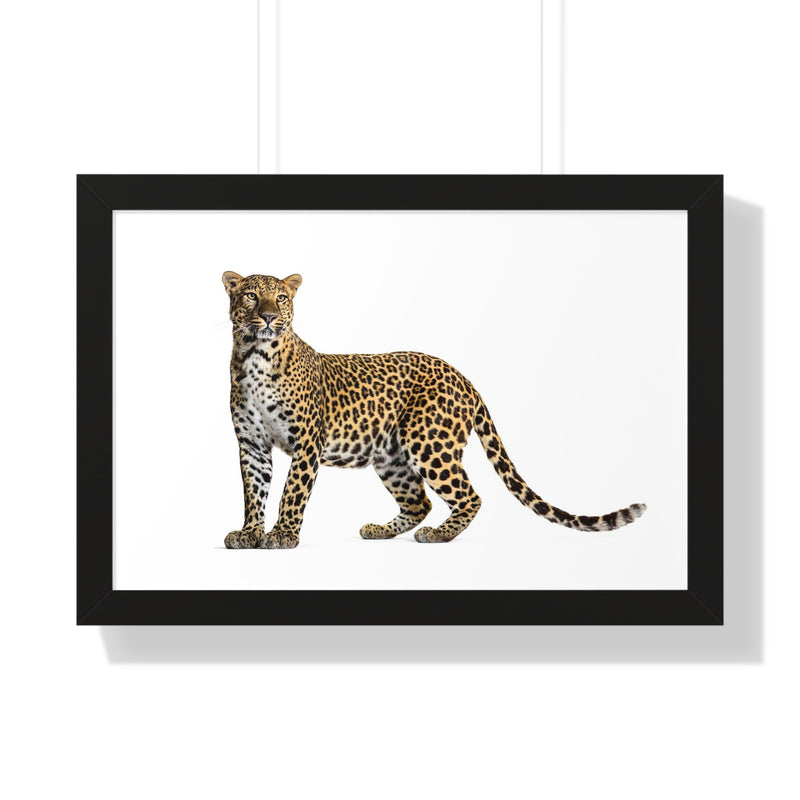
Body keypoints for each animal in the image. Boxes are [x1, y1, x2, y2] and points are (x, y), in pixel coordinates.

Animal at [222, 271, 646, 549]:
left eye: (281, 298)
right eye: (250, 296)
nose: (268, 317)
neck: (255, 356)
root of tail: (464, 377)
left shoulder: (308, 441)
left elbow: (292, 490)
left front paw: (282, 535)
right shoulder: (252, 444)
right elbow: (254, 490)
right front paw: (249, 533)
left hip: (429, 442)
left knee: (469, 496)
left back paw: (439, 535)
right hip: (392, 456)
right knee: (419, 501)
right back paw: (380, 530)